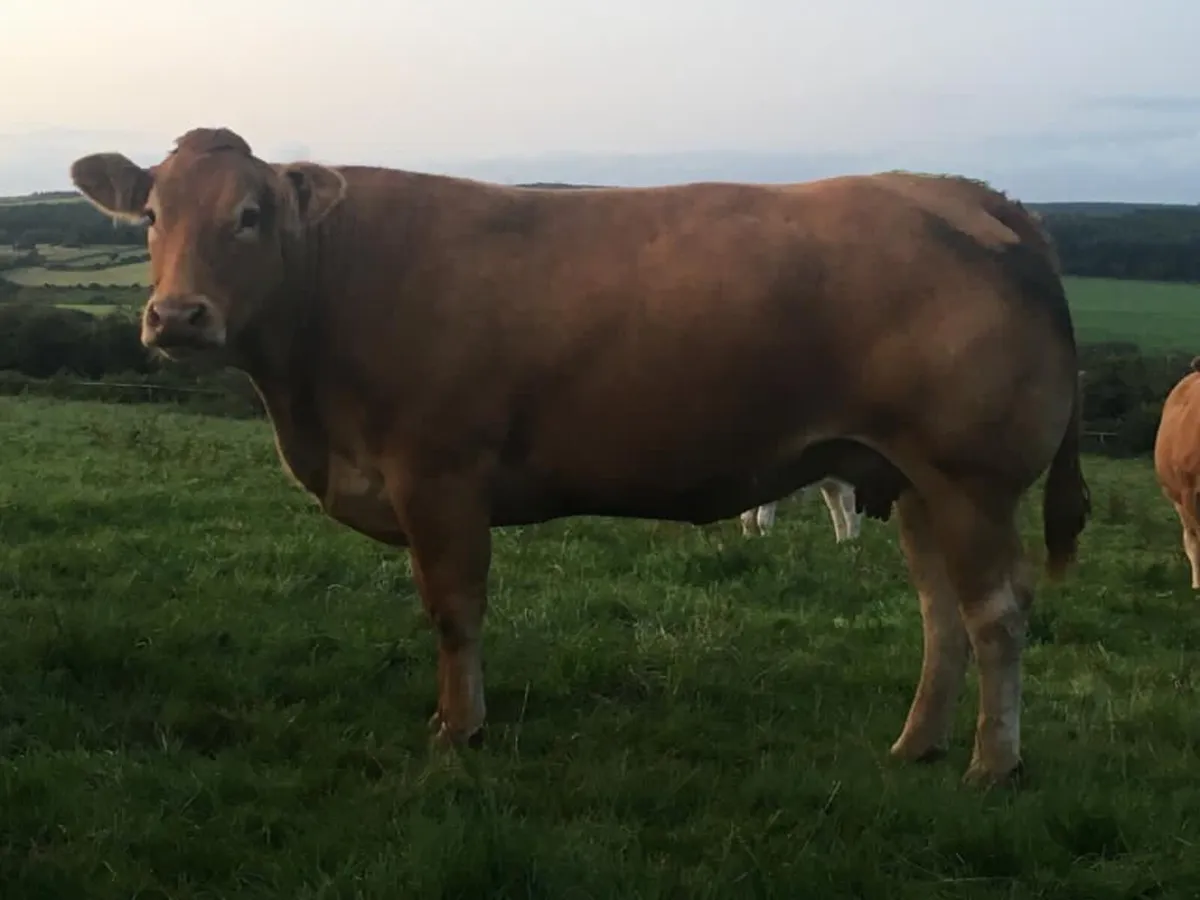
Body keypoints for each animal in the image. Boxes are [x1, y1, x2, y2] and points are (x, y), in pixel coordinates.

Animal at [68, 128, 1090, 787]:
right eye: (149, 215)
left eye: (250, 215)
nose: (176, 316)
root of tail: (962, 189)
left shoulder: (439, 475)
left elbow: (454, 612)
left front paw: (459, 729)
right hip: (911, 479)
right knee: (942, 615)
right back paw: (918, 745)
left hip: (968, 478)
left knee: (996, 614)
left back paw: (992, 764)